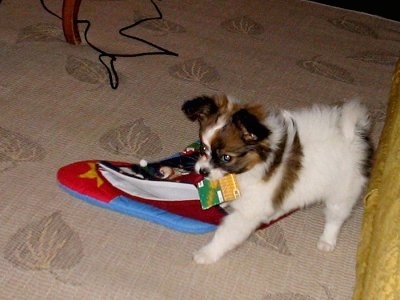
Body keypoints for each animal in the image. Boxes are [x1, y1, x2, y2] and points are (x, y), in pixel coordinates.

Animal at [183, 95, 374, 264]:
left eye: (226, 158)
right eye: (203, 148)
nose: (202, 171)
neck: (256, 164)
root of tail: (356, 134)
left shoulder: (247, 213)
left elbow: (225, 235)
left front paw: (206, 254)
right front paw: (222, 201)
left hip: (342, 191)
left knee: (336, 216)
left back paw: (327, 240)